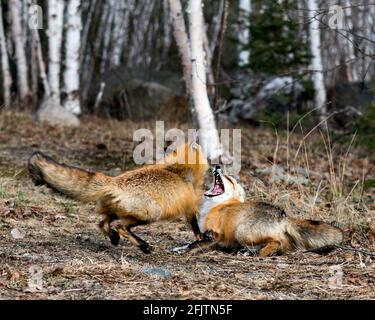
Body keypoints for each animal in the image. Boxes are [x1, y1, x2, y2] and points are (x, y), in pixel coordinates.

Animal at [27, 142, 210, 252]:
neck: (180, 170)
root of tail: (113, 181)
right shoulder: (190, 207)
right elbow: (196, 227)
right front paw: (201, 240)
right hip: (151, 214)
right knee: (122, 227)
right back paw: (143, 246)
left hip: (117, 211)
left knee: (103, 223)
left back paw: (114, 238)